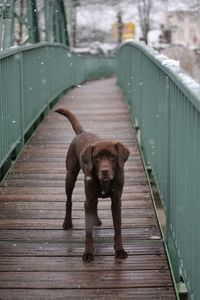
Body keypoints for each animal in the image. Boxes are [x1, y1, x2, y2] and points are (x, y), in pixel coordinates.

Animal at [55, 108, 130, 262]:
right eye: (97, 158)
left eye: (112, 156)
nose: (105, 171)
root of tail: (82, 132)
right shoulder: (88, 201)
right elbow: (88, 232)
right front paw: (89, 252)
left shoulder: (116, 201)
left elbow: (118, 228)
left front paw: (119, 249)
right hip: (70, 175)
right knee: (69, 200)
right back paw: (67, 222)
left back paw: (96, 220)